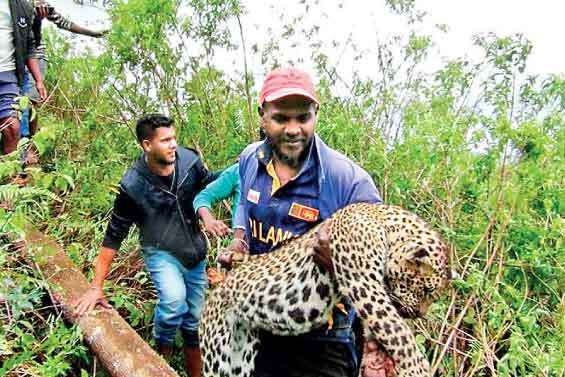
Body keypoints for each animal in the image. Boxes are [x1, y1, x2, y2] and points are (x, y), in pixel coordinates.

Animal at [198, 203, 450, 376]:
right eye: (427, 291)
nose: (419, 314)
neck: (384, 225)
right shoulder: (364, 285)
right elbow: (399, 333)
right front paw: (416, 368)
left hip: (241, 355)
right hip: (217, 353)